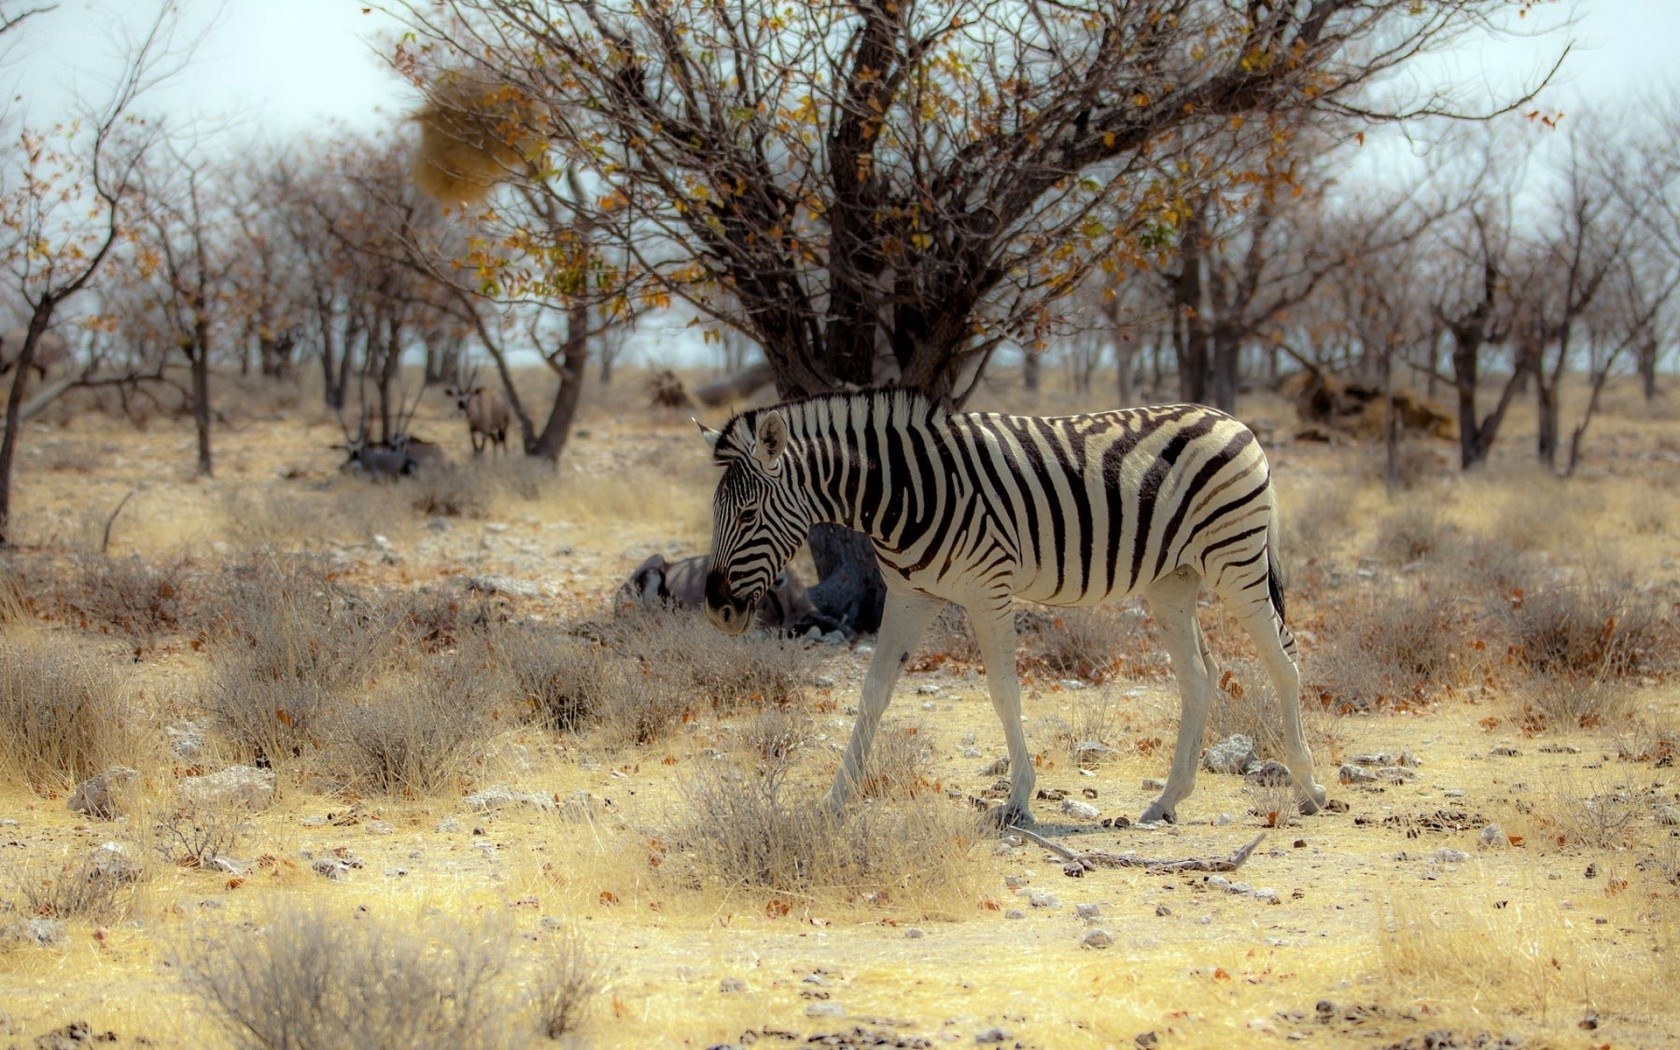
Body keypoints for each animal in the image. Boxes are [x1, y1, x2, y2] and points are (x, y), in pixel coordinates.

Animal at [700, 388, 1327, 827]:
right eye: (715, 514)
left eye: (749, 515)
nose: (716, 611)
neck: (905, 491)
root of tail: (1233, 420)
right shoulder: (909, 595)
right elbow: (873, 695)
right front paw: (835, 799)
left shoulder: (988, 588)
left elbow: (1004, 692)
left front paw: (1019, 799)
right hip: (1172, 580)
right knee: (1199, 675)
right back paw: (1168, 801)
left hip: (1235, 559)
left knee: (1284, 660)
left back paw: (1309, 787)